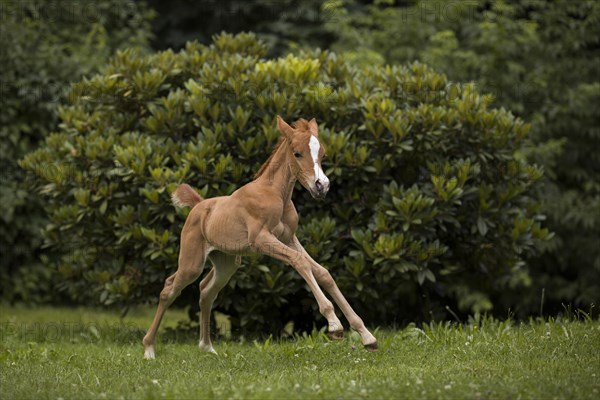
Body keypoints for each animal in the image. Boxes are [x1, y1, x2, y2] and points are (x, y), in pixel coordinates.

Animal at [143, 116, 378, 360]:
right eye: (297, 153)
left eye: (322, 153)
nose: (321, 186)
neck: (276, 193)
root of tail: (199, 205)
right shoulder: (261, 240)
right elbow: (300, 262)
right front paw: (334, 325)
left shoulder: (289, 238)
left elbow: (323, 273)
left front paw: (367, 337)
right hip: (192, 263)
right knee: (169, 289)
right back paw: (149, 349)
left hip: (226, 262)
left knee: (206, 291)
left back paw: (207, 347)